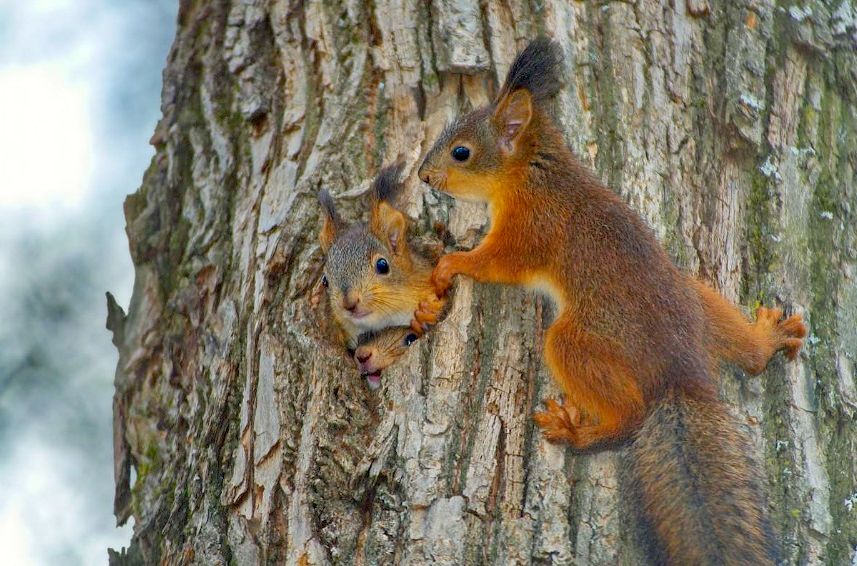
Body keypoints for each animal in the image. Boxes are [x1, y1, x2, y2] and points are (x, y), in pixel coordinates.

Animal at [412, 37, 804, 564]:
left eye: (461, 152)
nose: (423, 175)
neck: (533, 174)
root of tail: (682, 373)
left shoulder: (530, 230)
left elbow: (495, 263)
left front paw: (452, 262)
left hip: (578, 341)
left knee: (628, 417)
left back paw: (577, 432)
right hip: (699, 297)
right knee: (747, 355)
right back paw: (766, 338)